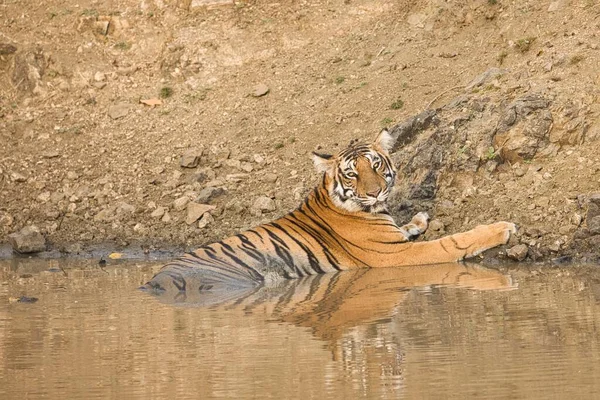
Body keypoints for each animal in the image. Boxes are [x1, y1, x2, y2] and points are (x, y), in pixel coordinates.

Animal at [146, 130, 516, 292]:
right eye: (352, 174)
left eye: (376, 166)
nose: (376, 191)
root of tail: (152, 282)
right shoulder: (395, 256)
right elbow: (452, 242)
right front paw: (502, 227)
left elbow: (407, 227)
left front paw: (418, 219)